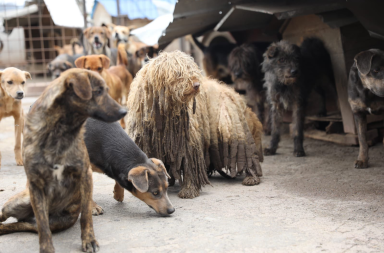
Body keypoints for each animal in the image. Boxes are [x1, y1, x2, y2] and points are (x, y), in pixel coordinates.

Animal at [0, 69, 127, 253]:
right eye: (98, 91)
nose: (124, 111)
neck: (59, 132)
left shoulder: (84, 175)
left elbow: (86, 215)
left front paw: (89, 240)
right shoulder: (35, 184)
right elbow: (43, 225)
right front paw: (47, 249)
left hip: (59, 220)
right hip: (13, 204)